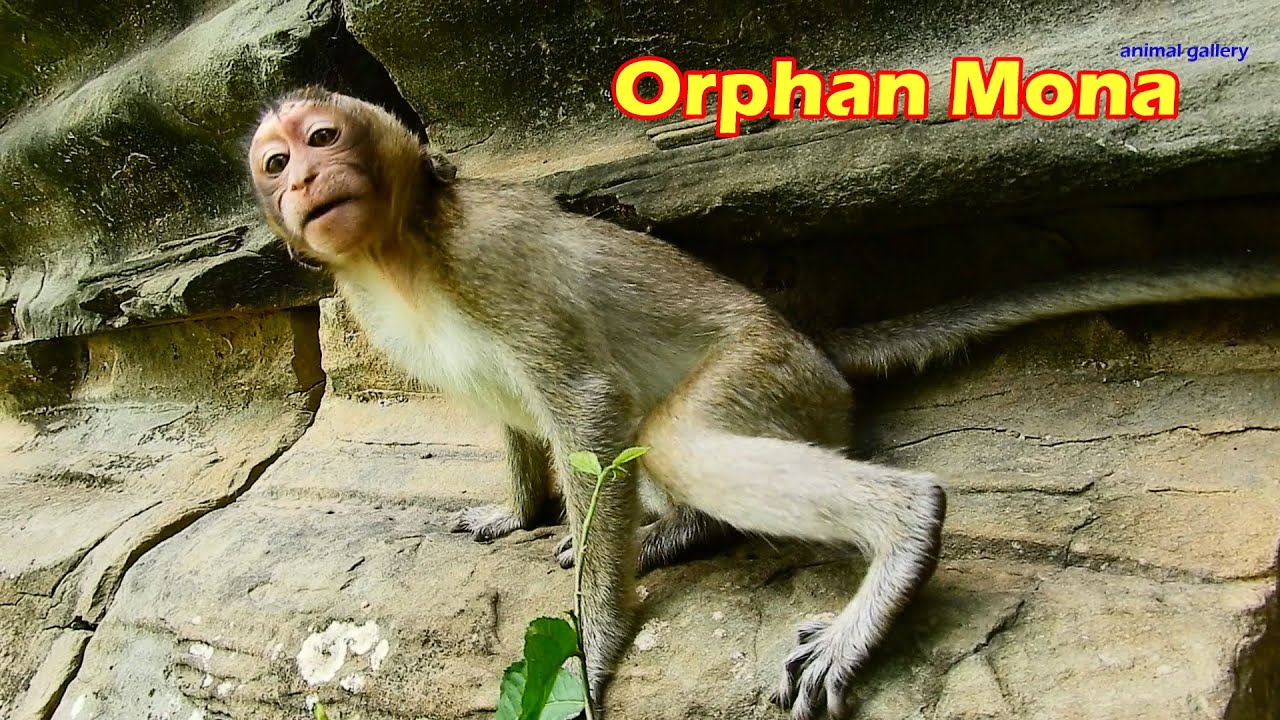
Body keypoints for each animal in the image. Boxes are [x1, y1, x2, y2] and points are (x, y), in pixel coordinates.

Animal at [248, 87, 1280, 720]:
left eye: (323, 138)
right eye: (272, 163)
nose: (302, 180)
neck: (401, 252)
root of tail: (813, 344)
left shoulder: (490, 256)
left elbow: (588, 402)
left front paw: (594, 642)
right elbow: (516, 417)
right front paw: (523, 511)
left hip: (772, 373)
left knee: (671, 437)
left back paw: (897, 533)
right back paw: (674, 531)